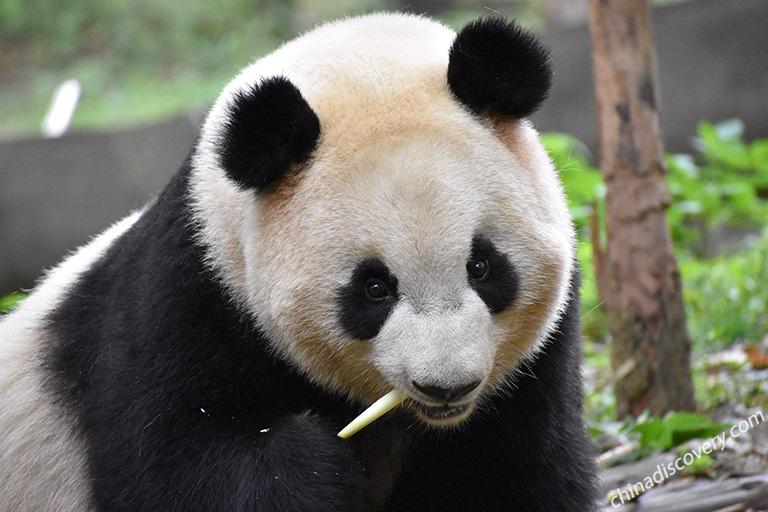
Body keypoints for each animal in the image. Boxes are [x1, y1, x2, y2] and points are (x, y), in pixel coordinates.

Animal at [0, 12, 596, 512]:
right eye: (374, 288)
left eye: (481, 267)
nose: (445, 386)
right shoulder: (188, 300)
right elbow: (169, 466)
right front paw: (311, 463)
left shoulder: (534, 369)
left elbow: (518, 476)